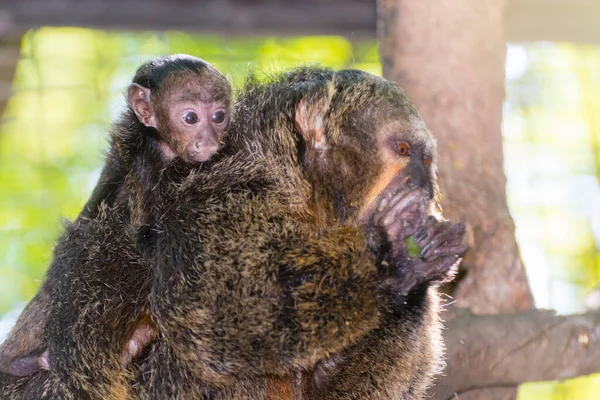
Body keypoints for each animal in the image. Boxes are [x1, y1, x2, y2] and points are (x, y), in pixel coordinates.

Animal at [0, 54, 230, 392]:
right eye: (190, 118)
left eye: (219, 117)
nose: (209, 140)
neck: (162, 147)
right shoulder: (143, 163)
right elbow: (144, 241)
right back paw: (15, 362)